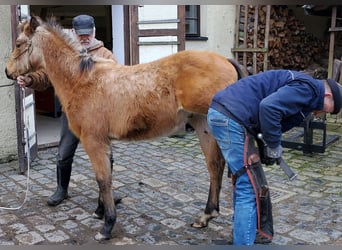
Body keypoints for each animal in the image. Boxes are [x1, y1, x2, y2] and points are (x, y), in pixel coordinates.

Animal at [5, 16, 244, 240]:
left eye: (18, 43)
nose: (8, 72)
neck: (81, 79)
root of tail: (226, 60)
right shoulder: (103, 141)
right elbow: (106, 177)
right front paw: (100, 211)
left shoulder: (93, 141)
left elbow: (103, 179)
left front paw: (107, 225)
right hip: (204, 126)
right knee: (215, 166)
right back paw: (206, 215)